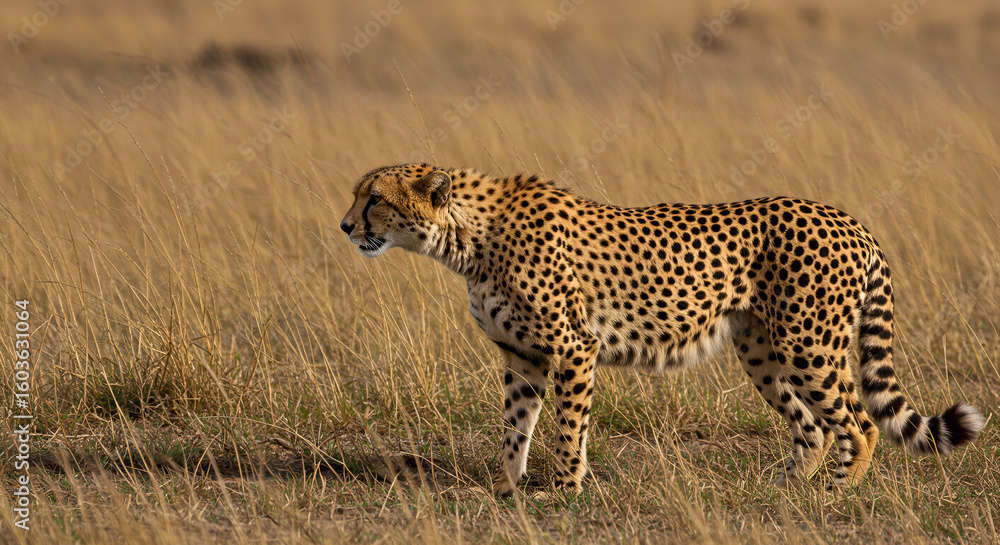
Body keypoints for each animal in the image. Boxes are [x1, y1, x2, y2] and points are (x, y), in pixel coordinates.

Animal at [340, 163, 985, 495]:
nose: (345, 226)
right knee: (812, 426)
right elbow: (515, 427)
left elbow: (566, 428)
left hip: (809, 343)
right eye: (358, 195)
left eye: (374, 199)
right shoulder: (522, 356)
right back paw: (785, 489)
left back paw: (837, 493)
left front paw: (565, 491)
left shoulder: (574, 348)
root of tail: (849, 218)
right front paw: (507, 489)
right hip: (760, 348)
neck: (467, 238)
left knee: (857, 422)